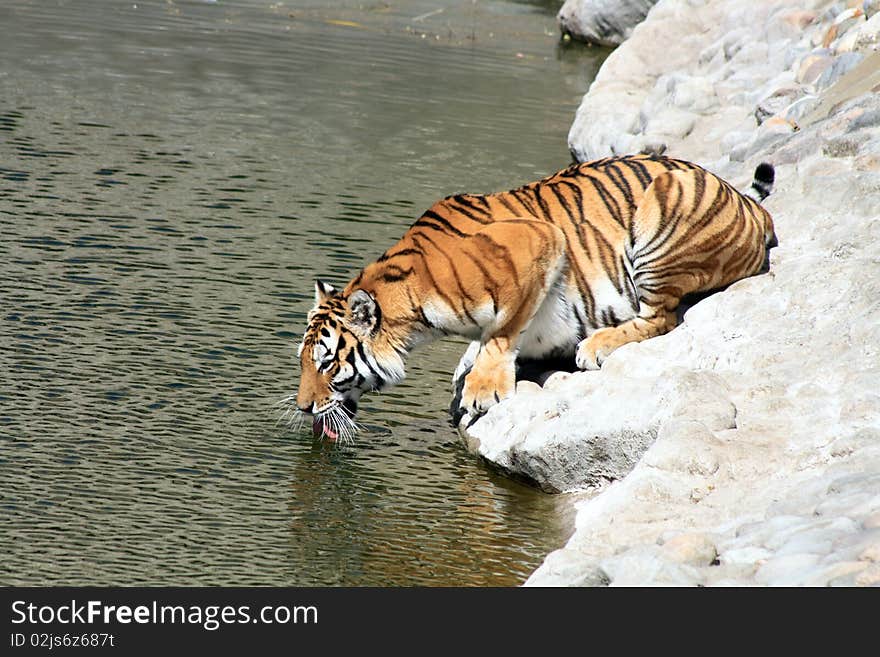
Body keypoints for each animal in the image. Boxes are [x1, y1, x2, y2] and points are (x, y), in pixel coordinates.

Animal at [290, 154, 776, 440]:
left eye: (328, 364)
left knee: (662, 316)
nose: (302, 406)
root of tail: (752, 205)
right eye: (302, 361)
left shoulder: (540, 242)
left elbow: (502, 330)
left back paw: (597, 345)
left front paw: (482, 390)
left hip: (664, 214)